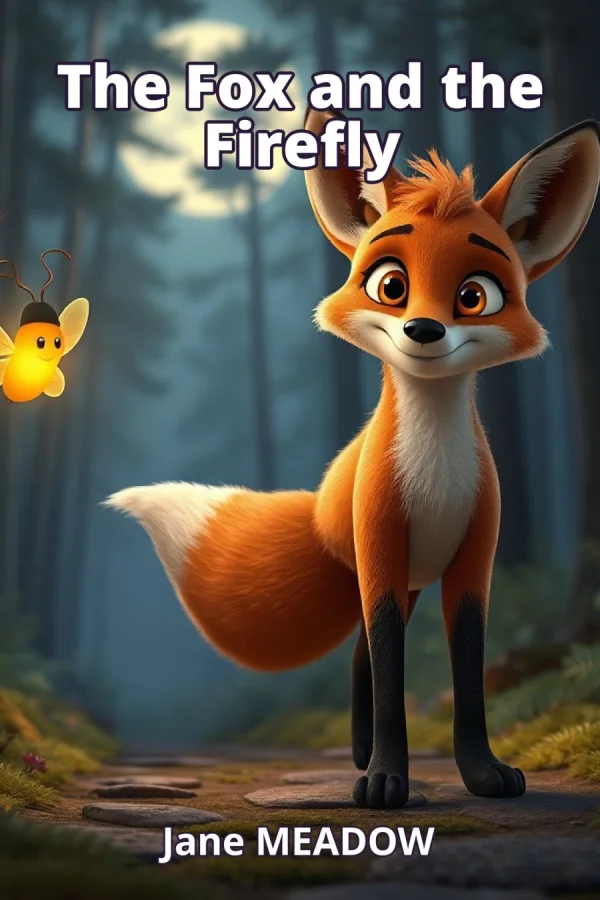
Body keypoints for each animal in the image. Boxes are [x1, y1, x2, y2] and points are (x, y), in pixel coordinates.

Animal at [107, 108, 600, 809]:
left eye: (474, 295)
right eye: (391, 286)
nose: (423, 330)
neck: (435, 480)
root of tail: (317, 508)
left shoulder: (473, 562)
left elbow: (470, 675)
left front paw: (481, 773)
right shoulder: (382, 549)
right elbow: (392, 672)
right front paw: (387, 779)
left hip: (412, 580)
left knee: (360, 657)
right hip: (382, 571)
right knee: (364, 659)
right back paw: (365, 759)